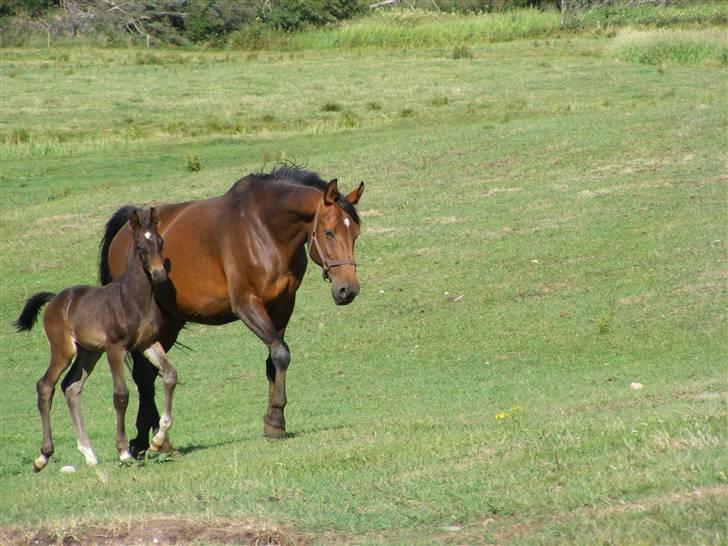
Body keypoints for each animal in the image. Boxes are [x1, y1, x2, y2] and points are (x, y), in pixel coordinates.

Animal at [15, 208, 178, 472]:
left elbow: (170, 375)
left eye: (160, 241)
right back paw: (42, 457)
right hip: (63, 350)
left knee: (71, 387)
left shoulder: (147, 344)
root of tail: (55, 299)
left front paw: (157, 440)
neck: (134, 299)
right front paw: (123, 452)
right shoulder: (115, 348)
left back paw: (88, 453)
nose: (159, 274)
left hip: (89, 352)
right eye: (140, 245)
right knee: (45, 385)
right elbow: (121, 395)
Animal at [80, 167, 364, 454]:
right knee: (142, 376)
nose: (347, 289)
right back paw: (150, 440)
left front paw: (274, 423)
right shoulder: (247, 305)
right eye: (328, 232)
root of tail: (127, 228)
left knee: (147, 374)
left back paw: (149, 439)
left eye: (355, 233)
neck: (264, 228)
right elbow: (281, 354)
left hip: (169, 322)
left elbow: (274, 358)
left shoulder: (283, 305)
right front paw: (275, 418)